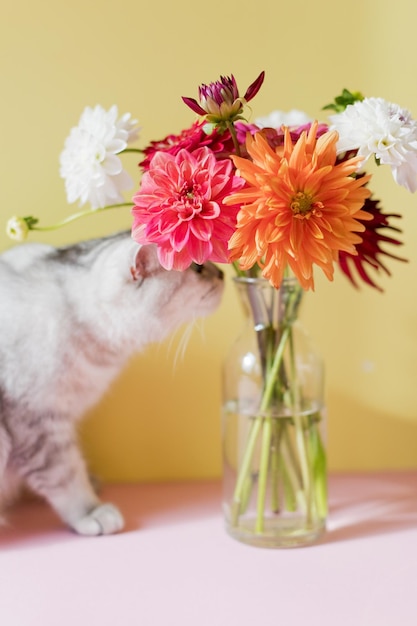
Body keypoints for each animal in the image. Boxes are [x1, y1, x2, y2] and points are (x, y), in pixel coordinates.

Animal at [0, 232, 224, 532]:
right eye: (198, 268)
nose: (223, 273)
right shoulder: (37, 421)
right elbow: (65, 475)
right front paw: (90, 511)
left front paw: (91, 482)